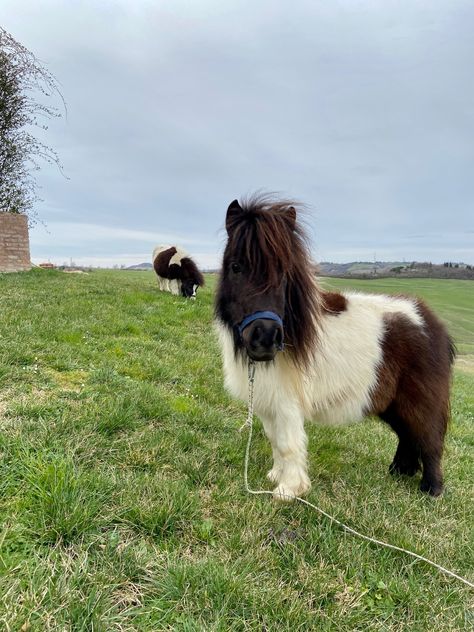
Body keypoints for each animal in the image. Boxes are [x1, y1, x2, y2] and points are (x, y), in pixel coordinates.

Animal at [215, 195, 456, 502]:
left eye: (284, 272)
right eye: (236, 266)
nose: (265, 338)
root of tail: (430, 320)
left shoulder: (287, 403)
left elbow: (288, 443)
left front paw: (288, 491)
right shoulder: (268, 402)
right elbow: (275, 441)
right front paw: (275, 477)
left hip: (421, 401)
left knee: (429, 438)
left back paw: (432, 489)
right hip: (393, 403)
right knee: (408, 436)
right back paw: (400, 472)